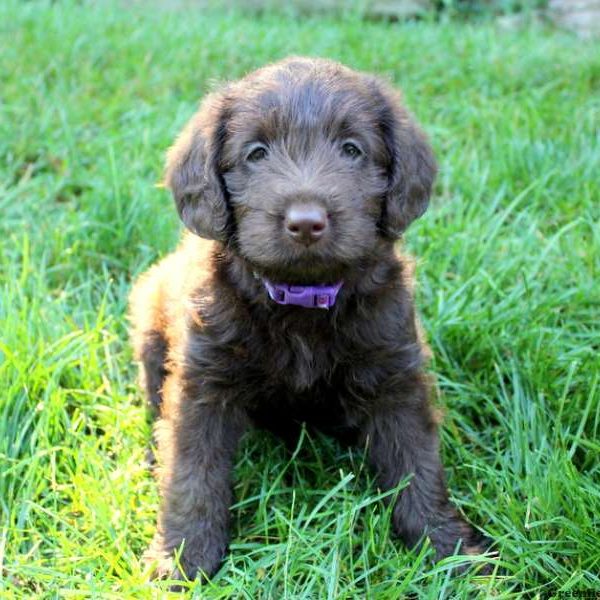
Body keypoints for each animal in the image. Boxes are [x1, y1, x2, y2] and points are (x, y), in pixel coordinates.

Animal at [129, 55, 490, 580]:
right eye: (256, 153)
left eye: (351, 150)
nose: (305, 222)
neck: (301, 300)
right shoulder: (204, 384)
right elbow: (192, 475)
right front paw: (182, 559)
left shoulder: (393, 375)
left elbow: (416, 463)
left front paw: (447, 548)